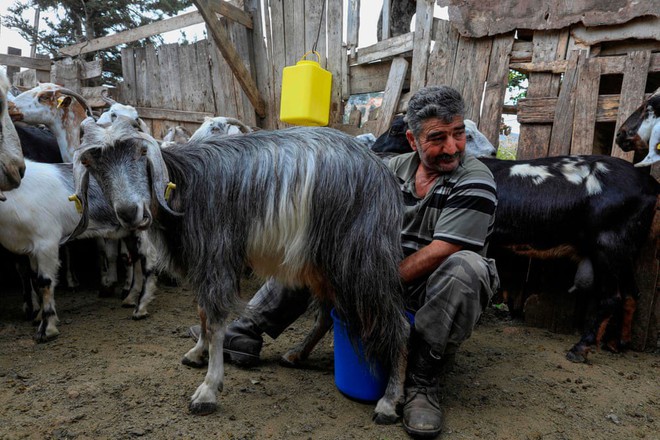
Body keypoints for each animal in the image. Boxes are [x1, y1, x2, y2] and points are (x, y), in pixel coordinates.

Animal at [67, 117, 408, 422]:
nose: (130, 213)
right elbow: (202, 312)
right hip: (320, 261)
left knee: (400, 323)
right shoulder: (202, 262)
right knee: (326, 313)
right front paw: (197, 353)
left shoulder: (217, 255)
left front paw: (207, 390)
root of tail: (383, 174)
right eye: (93, 163)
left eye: (140, 153)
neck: (184, 184)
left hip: (361, 257)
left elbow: (217, 321)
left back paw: (389, 402)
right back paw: (297, 354)